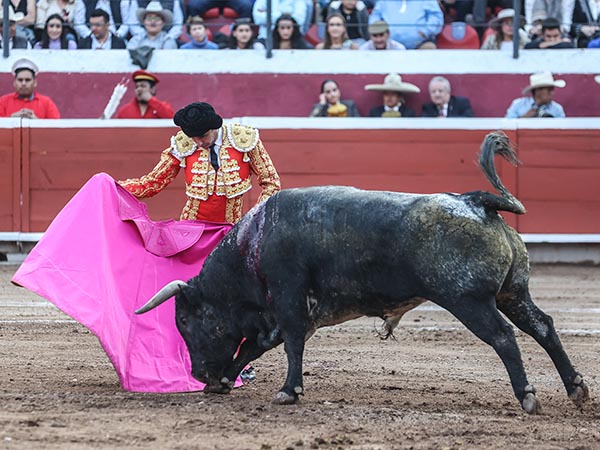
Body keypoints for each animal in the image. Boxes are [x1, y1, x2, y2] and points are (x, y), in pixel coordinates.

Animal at [135, 132, 584, 414]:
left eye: (187, 321)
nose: (200, 375)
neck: (253, 244)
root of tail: (476, 202)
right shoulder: (280, 313)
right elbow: (253, 347)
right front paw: (229, 381)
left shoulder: (287, 301)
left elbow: (289, 344)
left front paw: (288, 392)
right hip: (513, 293)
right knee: (542, 327)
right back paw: (577, 389)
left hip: (467, 300)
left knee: (504, 337)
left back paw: (528, 396)